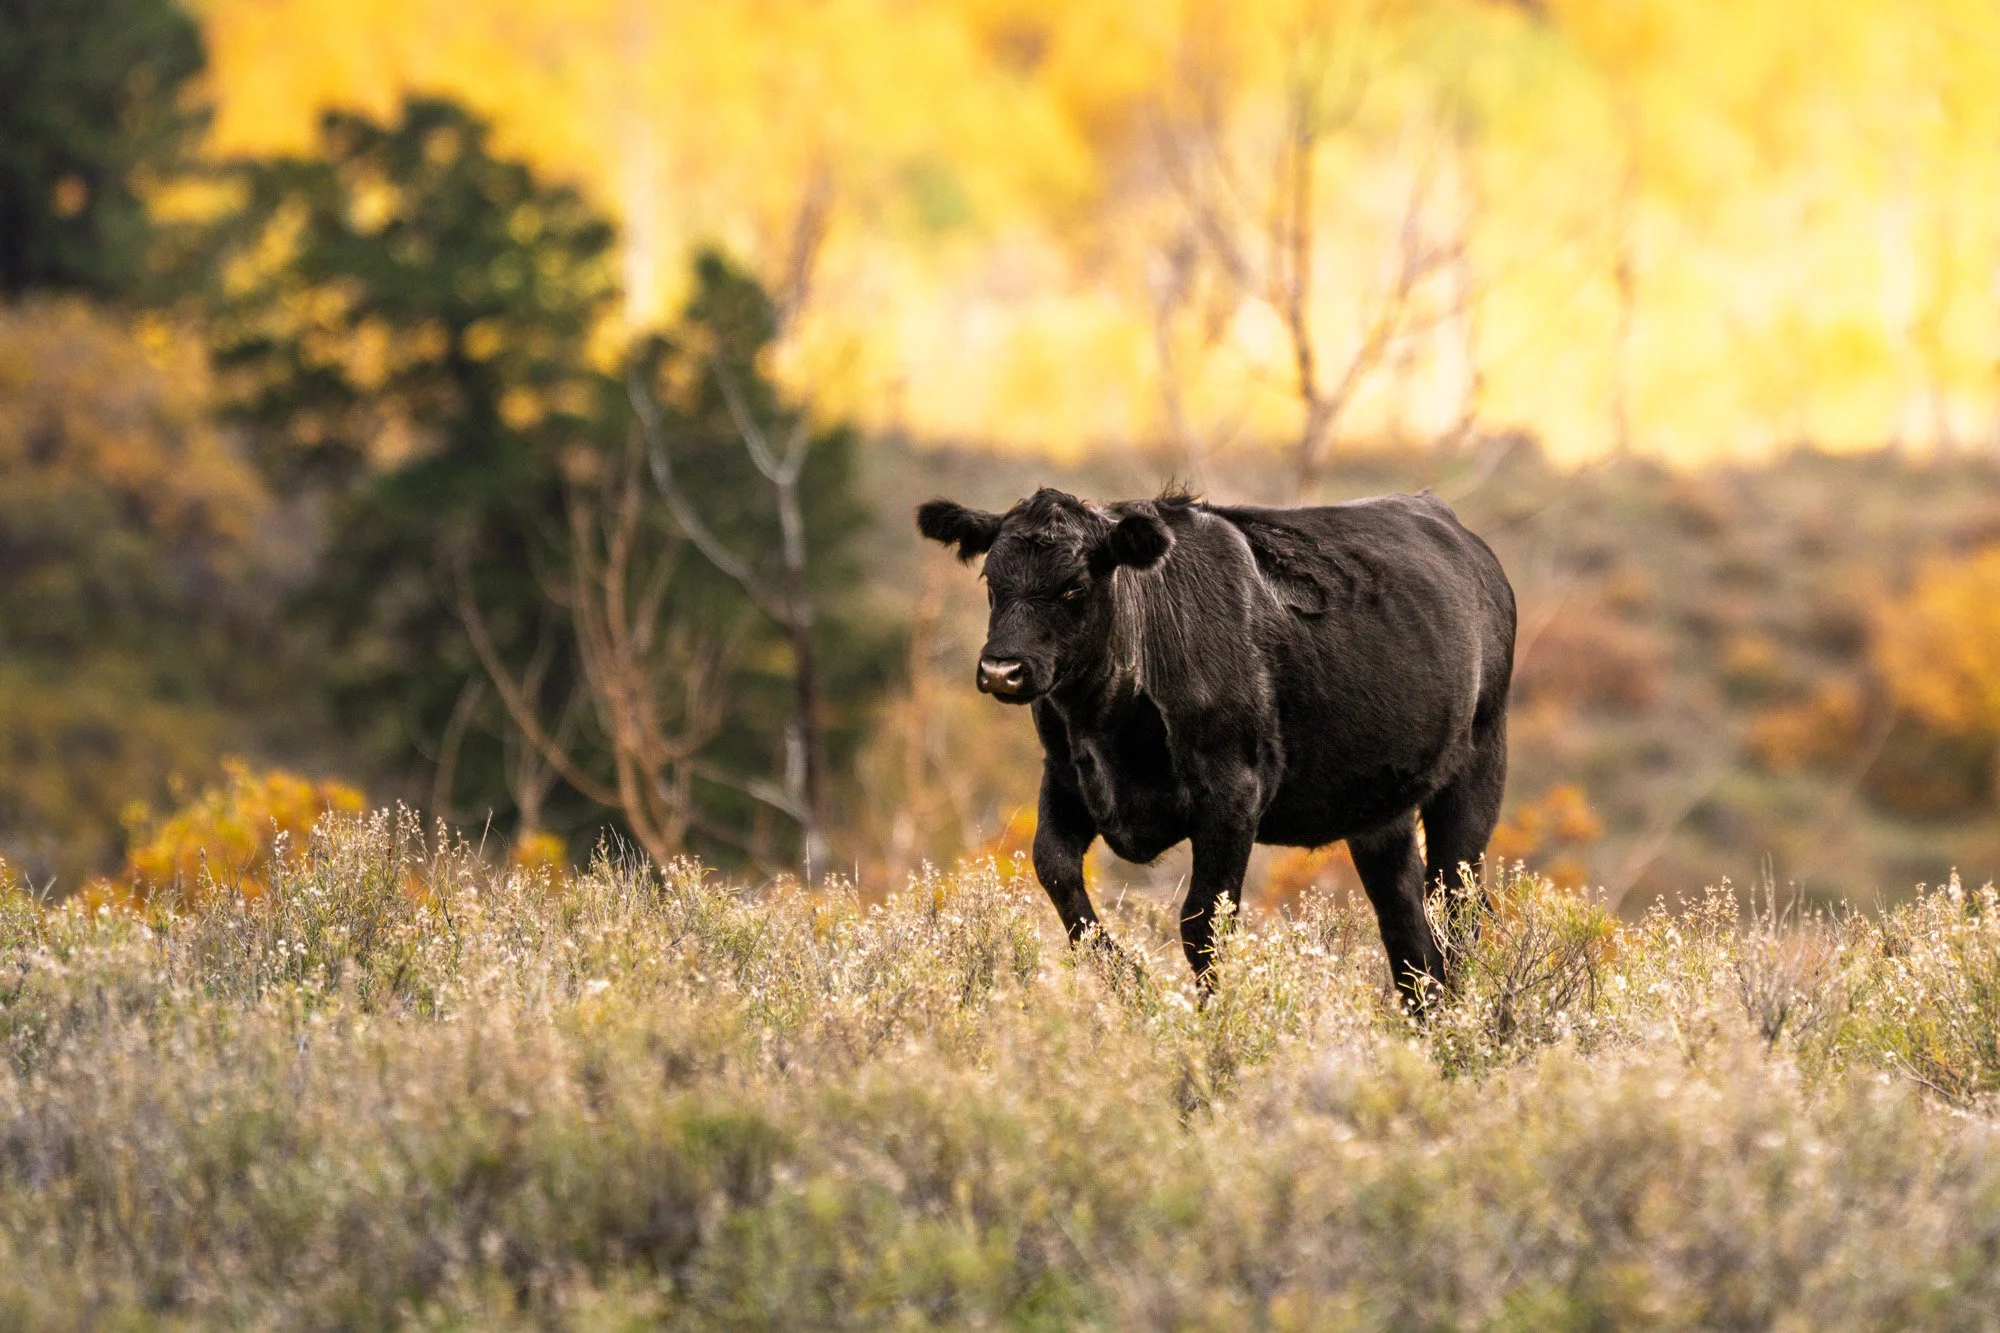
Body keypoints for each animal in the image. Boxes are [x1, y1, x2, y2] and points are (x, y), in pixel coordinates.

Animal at [916, 486, 1515, 1007]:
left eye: (1073, 587)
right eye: (992, 582)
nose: (1002, 669)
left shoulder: (1232, 797)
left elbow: (1202, 923)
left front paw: (1211, 1021)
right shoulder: (1067, 778)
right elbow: (1057, 872)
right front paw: (1129, 980)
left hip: (1477, 772)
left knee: (1456, 905)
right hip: (1379, 814)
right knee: (1406, 922)